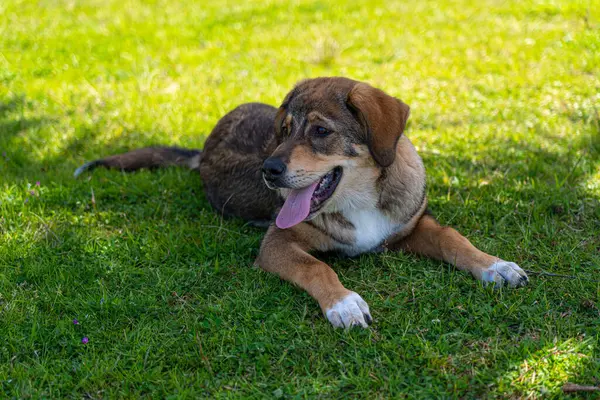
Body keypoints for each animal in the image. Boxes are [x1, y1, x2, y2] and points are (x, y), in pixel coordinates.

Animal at [76, 77, 528, 328]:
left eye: (321, 131)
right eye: (285, 130)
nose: (269, 169)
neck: (360, 199)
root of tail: (202, 150)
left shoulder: (411, 225)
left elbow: (453, 238)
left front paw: (496, 266)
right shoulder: (278, 242)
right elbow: (316, 267)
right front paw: (344, 304)